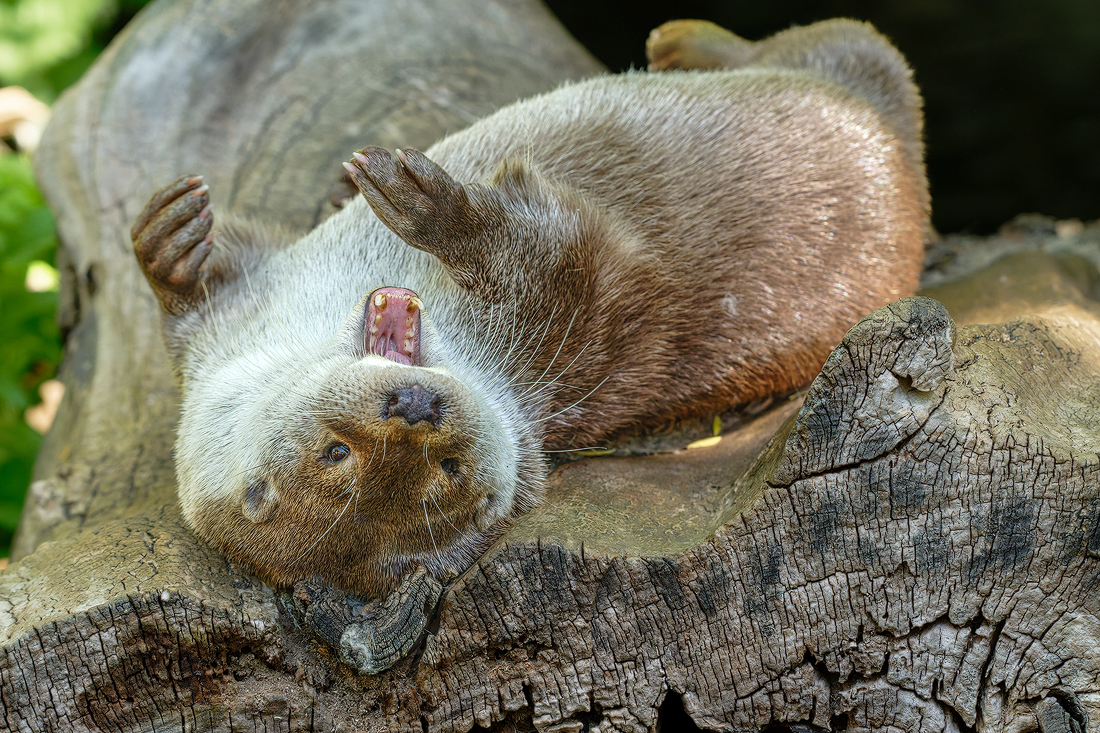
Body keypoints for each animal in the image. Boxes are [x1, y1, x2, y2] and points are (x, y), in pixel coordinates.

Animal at [131, 19, 927, 597]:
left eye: (445, 465)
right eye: (340, 455)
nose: (417, 407)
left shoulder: (233, 310)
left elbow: (202, 286)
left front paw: (166, 249)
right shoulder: (572, 327)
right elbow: (578, 261)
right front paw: (443, 213)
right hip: (859, 83)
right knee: (850, 46)